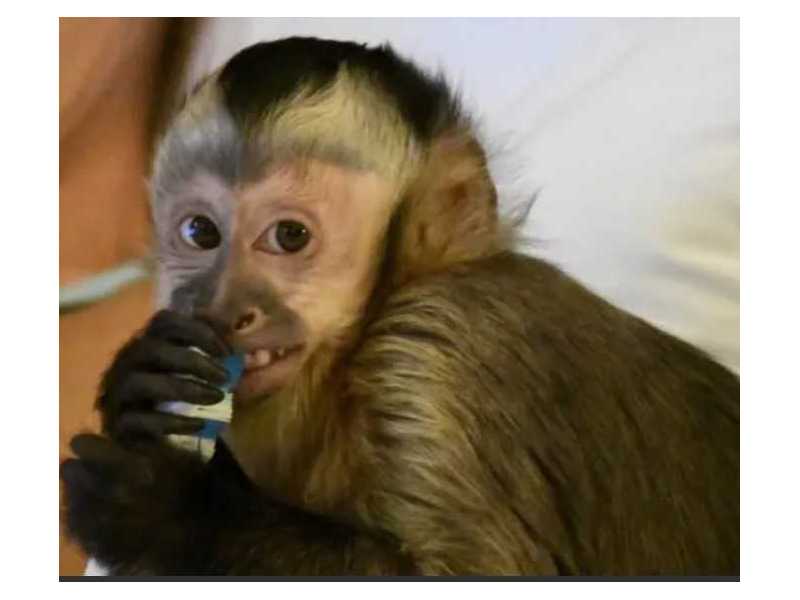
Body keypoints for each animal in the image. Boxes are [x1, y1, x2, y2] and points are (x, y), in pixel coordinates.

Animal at [59, 37, 739, 576]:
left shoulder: (440, 340)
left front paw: (174, 509)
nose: (223, 306)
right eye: (200, 232)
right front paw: (139, 384)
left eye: (289, 237)